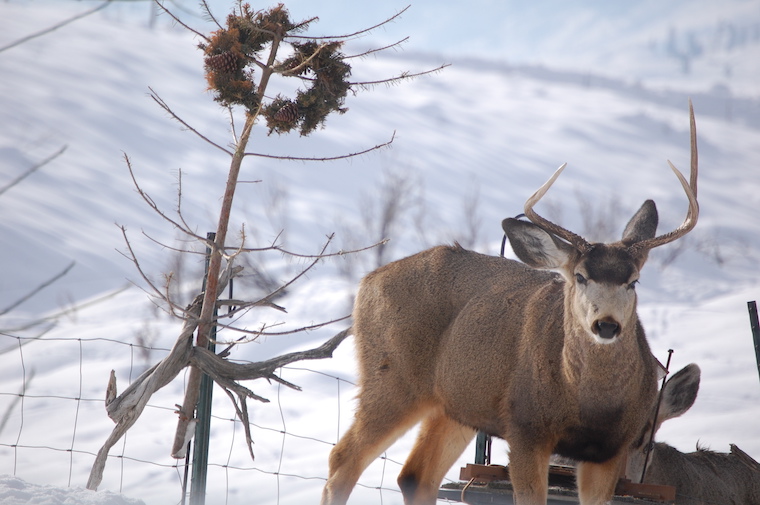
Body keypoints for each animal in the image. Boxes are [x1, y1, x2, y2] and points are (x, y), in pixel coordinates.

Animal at [321, 102, 699, 505]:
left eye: (633, 281)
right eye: (580, 276)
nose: (607, 325)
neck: (590, 406)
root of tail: (367, 281)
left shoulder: (611, 449)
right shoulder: (525, 429)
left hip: (455, 404)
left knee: (415, 475)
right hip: (392, 377)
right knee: (342, 459)